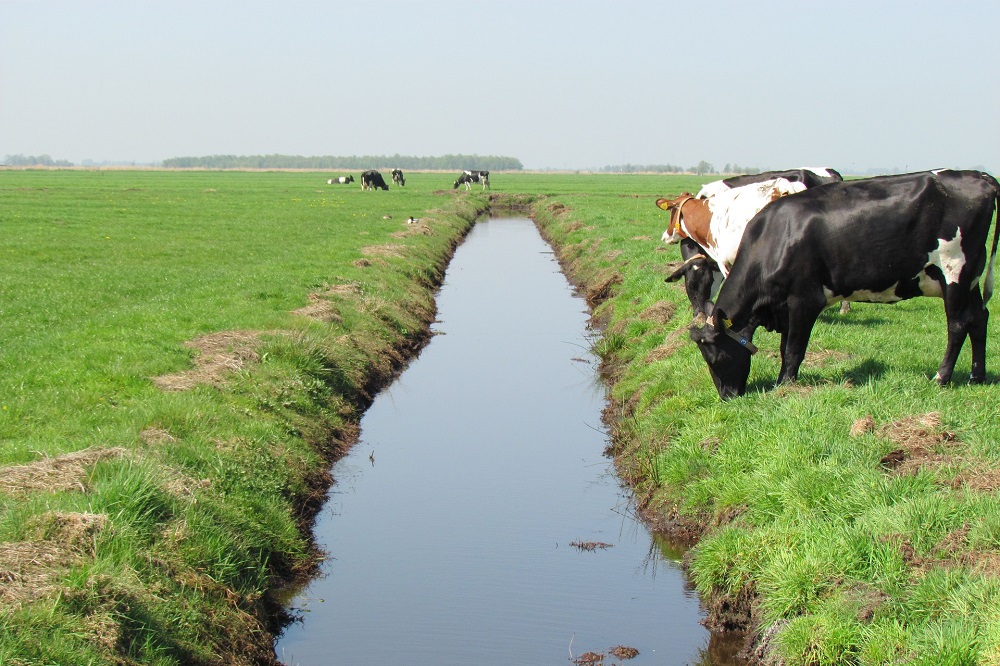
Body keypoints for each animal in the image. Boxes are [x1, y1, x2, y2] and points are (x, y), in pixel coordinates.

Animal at [688, 171, 1000, 400]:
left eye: (714, 358)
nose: (727, 396)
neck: (776, 238)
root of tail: (979, 176)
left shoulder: (804, 300)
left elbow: (793, 349)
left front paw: (784, 385)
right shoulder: (786, 307)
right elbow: (785, 346)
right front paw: (783, 380)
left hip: (954, 272)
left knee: (958, 325)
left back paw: (941, 377)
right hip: (969, 279)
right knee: (978, 318)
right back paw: (977, 376)